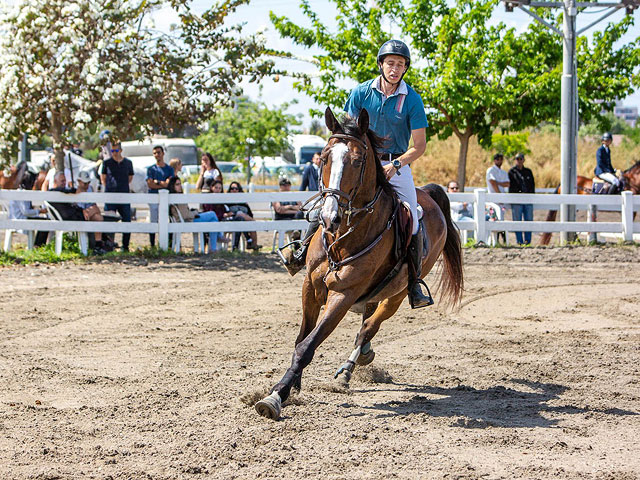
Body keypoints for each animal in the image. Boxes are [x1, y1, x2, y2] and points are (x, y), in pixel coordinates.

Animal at [256, 108, 464, 420]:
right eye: (324, 157)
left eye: (357, 161)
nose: (329, 217)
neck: (343, 238)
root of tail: (429, 193)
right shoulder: (310, 288)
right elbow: (300, 339)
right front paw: (292, 386)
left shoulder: (343, 295)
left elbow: (307, 346)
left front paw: (276, 396)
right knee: (367, 320)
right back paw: (363, 355)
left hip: (396, 294)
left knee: (369, 326)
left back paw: (348, 369)